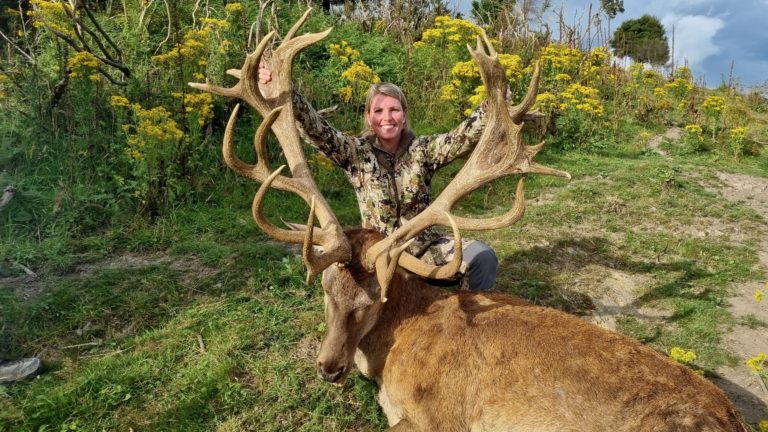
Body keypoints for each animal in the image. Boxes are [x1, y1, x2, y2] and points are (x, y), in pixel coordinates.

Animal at [190, 10, 750, 432]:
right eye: (325, 289)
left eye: (374, 299)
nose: (328, 368)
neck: (390, 353)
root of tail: (734, 419)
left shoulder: (439, 417)